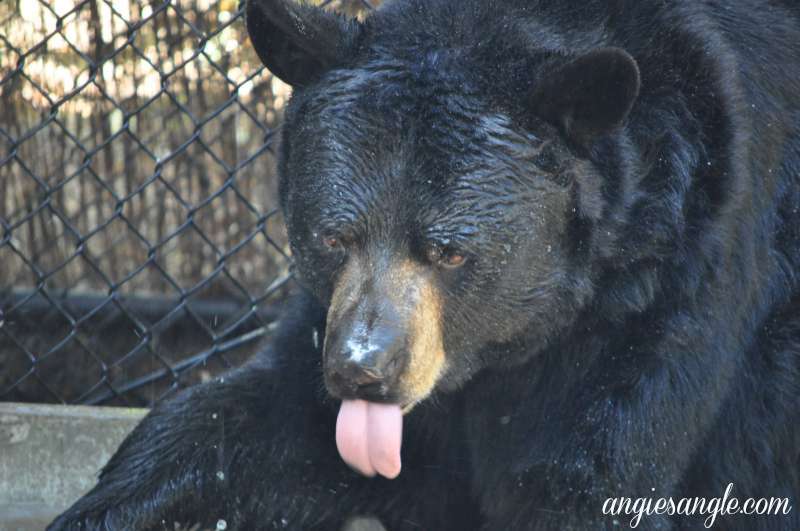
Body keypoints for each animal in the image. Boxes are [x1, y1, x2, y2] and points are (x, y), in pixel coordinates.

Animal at [50, 0, 800, 528]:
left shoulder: (667, 277)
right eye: (333, 237)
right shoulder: (325, 318)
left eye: (449, 250)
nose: (362, 369)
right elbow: (243, 422)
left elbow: (588, 471)